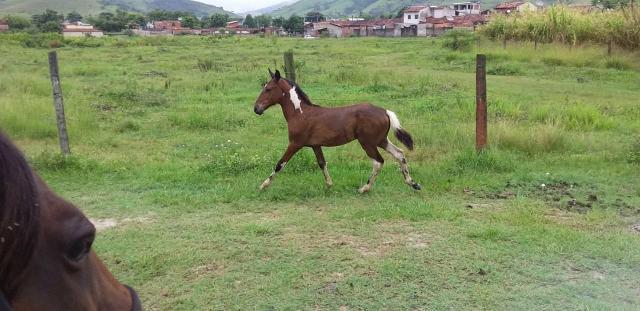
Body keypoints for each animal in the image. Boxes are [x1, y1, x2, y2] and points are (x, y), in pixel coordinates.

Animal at [252, 69, 422, 194]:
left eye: (268, 89)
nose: (256, 109)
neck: (300, 113)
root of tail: (385, 111)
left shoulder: (295, 143)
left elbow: (280, 164)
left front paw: (263, 185)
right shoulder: (315, 145)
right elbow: (322, 163)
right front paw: (329, 184)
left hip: (367, 142)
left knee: (378, 162)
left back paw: (364, 188)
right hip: (381, 140)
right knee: (399, 154)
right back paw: (413, 184)